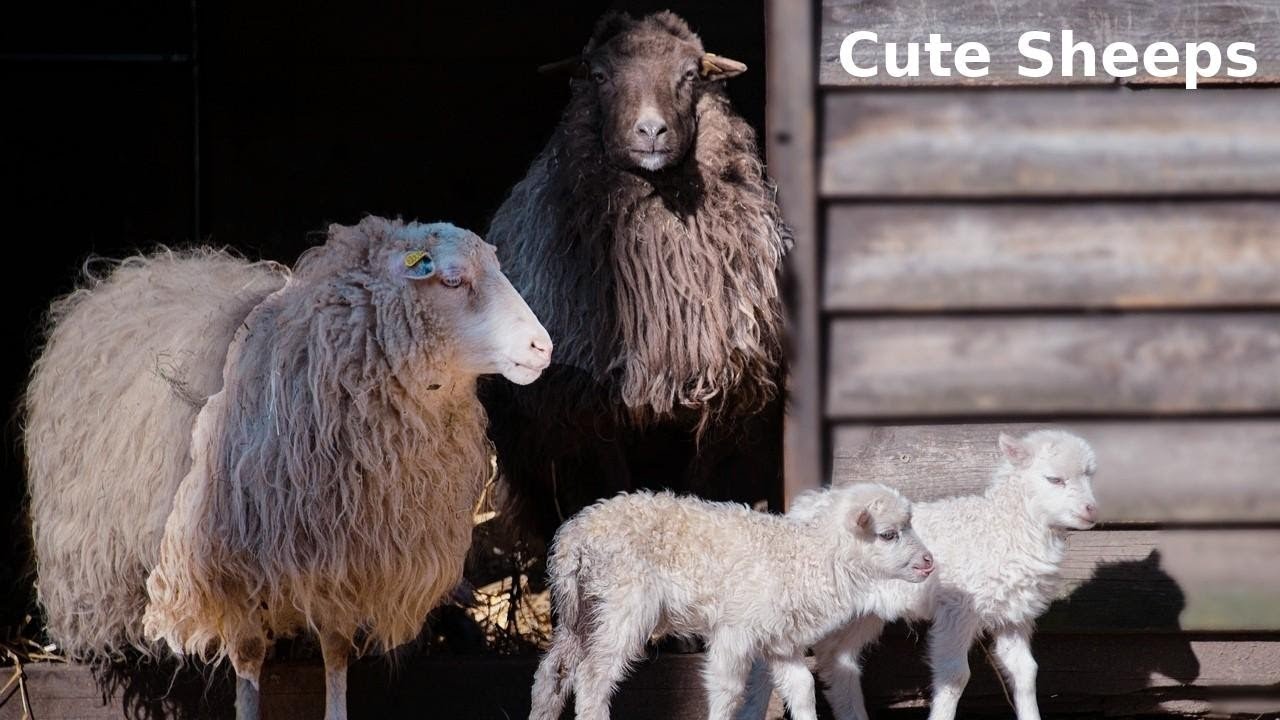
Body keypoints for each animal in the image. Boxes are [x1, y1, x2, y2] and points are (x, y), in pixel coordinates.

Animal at [25, 217, 553, 720]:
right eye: (453, 280)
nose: (543, 347)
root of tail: (131, 270)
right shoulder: (230, 568)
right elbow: (247, 657)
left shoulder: (345, 562)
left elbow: (336, 652)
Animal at [485, 10, 792, 538]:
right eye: (599, 75)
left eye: (689, 74)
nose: (651, 131)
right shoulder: (585, 409)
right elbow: (605, 486)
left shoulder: (725, 398)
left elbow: (704, 484)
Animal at [528, 485, 935, 720]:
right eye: (888, 534)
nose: (929, 562)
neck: (805, 557)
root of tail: (574, 535)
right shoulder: (735, 630)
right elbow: (727, 692)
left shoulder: (779, 641)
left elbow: (802, 688)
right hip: (623, 602)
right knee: (593, 678)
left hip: (581, 609)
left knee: (552, 673)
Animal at [739, 430, 1100, 720]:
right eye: (1054, 479)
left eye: (1089, 475)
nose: (1091, 510)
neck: (1002, 526)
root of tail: (802, 507)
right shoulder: (958, 608)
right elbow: (955, 676)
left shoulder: (1012, 613)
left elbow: (1026, 672)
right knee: (766, 662)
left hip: (861, 613)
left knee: (836, 660)